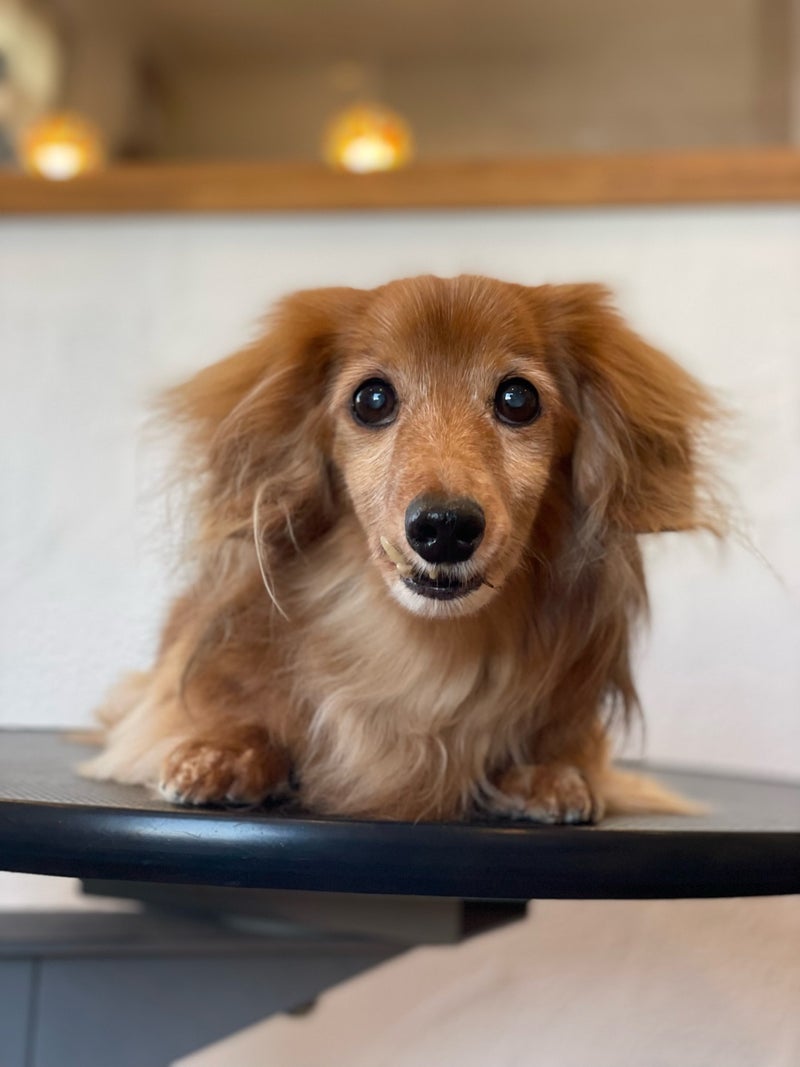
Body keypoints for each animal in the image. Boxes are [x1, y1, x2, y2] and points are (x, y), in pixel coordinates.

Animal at [82, 275, 722, 823]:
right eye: (372, 400)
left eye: (518, 399)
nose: (444, 528)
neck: (417, 647)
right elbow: (229, 712)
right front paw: (226, 752)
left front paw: (544, 770)